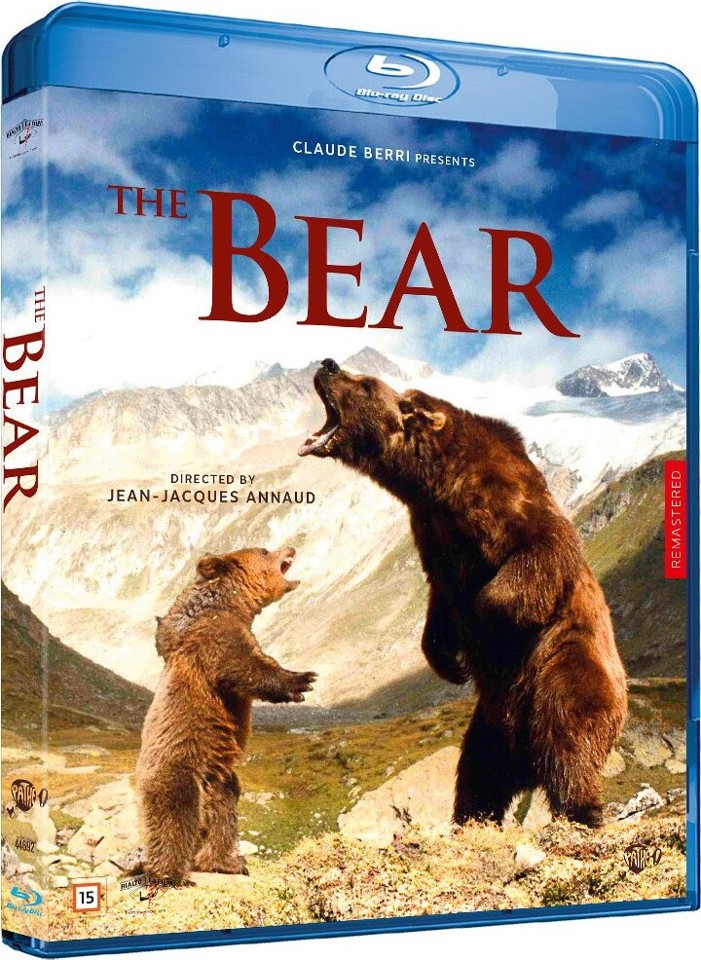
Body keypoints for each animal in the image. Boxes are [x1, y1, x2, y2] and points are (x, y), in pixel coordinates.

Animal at [136, 546, 317, 884]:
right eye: (264, 549)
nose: (290, 547)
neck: (233, 604)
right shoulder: (217, 635)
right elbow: (243, 666)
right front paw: (301, 680)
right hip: (178, 768)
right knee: (175, 815)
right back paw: (170, 875)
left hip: (219, 776)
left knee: (224, 812)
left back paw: (227, 862)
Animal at [299, 358, 627, 827]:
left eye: (364, 384)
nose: (327, 365)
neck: (432, 481)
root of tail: (524, 757)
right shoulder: (432, 533)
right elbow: (439, 601)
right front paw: (447, 660)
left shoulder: (504, 499)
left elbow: (540, 550)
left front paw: (484, 618)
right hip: (489, 724)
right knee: (478, 771)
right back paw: (470, 817)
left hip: (565, 669)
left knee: (568, 734)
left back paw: (582, 810)